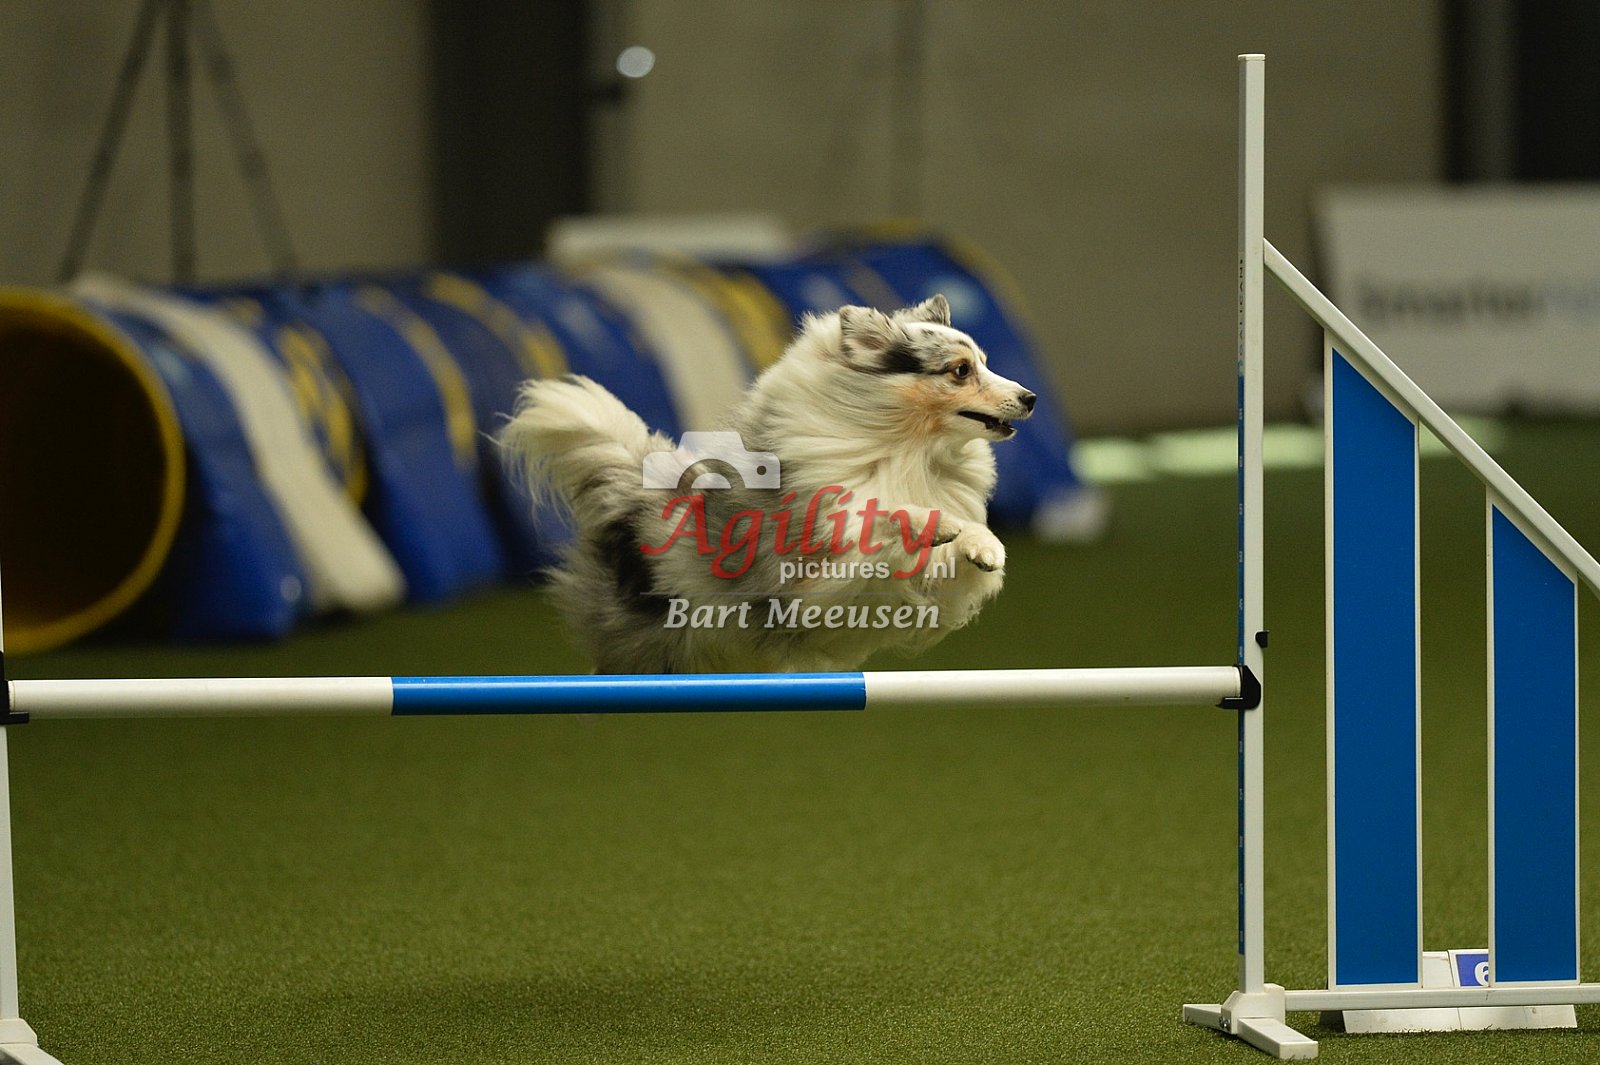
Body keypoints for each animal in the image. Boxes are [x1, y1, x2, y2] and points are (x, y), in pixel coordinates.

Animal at [499, 294, 1036, 673]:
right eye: (960, 370)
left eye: (985, 361)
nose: (1030, 397)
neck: (909, 451)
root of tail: (634, 492)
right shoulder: (812, 586)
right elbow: (876, 519)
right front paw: (931, 525)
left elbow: (960, 553)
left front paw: (984, 547)